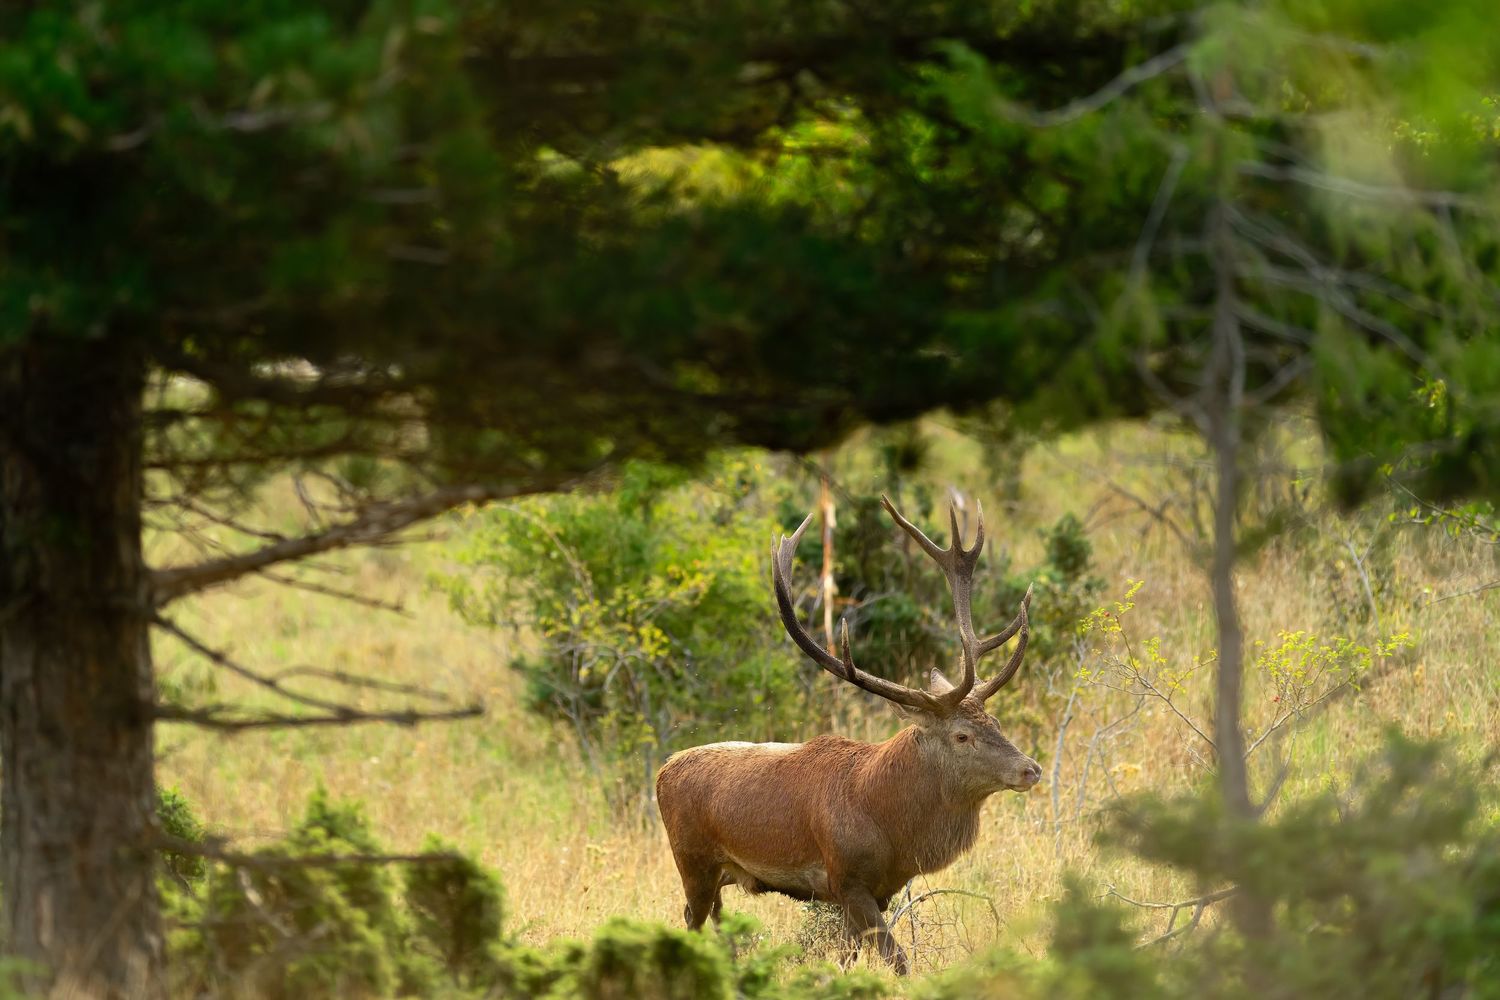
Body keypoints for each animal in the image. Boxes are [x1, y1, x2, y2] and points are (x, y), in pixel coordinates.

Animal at [655, 495, 1040, 974]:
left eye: (997, 723)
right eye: (962, 736)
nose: (1030, 769)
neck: (889, 824)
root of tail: (663, 771)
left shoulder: (881, 887)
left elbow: (846, 957)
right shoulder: (847, 878)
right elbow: (896, 958)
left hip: (720, 873)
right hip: (692, 861)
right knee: (691, 917)